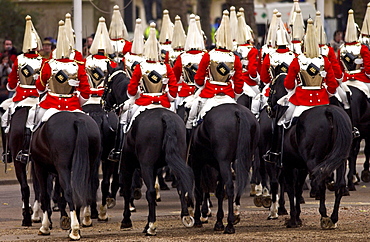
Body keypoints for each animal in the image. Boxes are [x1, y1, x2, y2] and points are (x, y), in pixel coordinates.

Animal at [30, 112, 100, 240]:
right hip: (88, 166)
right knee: (82, 191)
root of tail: (77, 120)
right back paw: (77, 226)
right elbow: (59, 194)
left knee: (69, 192)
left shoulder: (40, 167)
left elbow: (45, 195)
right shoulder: (58, 173)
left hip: (62, 168)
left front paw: (45, 227)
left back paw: (75, 230)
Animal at [101, 63, 194, 234]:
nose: (103, 103)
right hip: (177, 160)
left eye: (106, 85)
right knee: (181, 185)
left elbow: (127, 190)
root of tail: (165, 117)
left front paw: (126, 220)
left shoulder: (126, 165)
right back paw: (186, 217)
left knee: (150, 191)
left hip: (146, 165)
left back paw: (151, 225)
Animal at [188, 103, 258, 233]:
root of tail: (238, 111)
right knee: (238, 186)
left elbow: (198, 191)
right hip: (244, 158)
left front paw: (198, 219)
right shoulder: (218, 166)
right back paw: (234, 215)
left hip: (224, 162)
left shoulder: (197, 162)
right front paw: (219, 222)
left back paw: (230, 224)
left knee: (230, 186)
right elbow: (219, 192)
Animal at [266, 74, 352, 228]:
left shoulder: (287, 165)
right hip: (340, 159)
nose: (269, 109)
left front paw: (293, 219)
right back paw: (334, 217)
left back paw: (324, 216)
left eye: (271, 89)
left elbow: (291, 189)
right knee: (340, 185)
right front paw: (297, 217)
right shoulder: (301, 166)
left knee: (321, 181)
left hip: (314, 160)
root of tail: (329, 111)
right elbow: (298, 188)